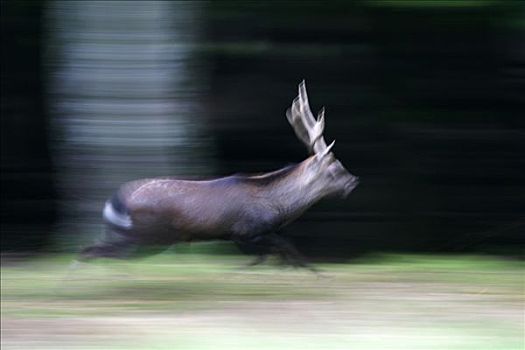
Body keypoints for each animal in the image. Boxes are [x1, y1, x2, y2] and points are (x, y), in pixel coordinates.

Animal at [78, 82, 358, 270]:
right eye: (335, 166)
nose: (354, 181)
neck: (278, 207)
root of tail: (115, 201)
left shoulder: (249, 236)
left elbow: (273, 254)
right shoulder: (244, 231)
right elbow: (281, 247)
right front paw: (314, 271)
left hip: (137, 236)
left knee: (95, 248)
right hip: (147, 234)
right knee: (91, 251)